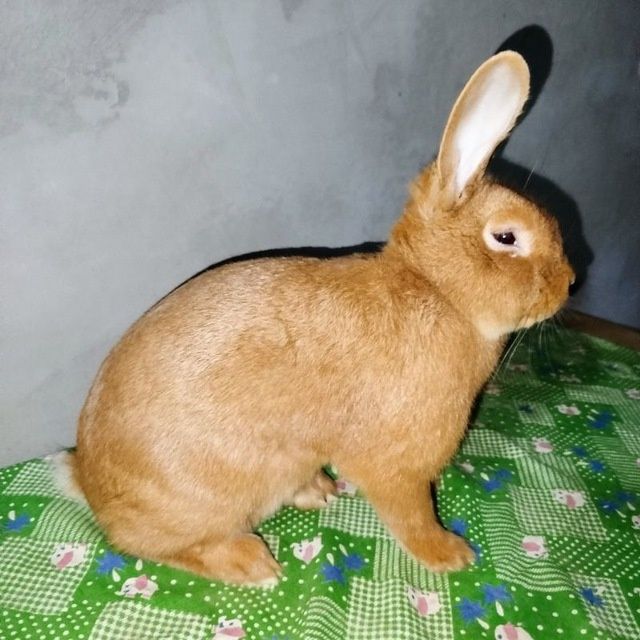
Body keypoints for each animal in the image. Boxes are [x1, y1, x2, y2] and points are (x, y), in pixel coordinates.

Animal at [63, 51, 574, 586]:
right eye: (507, 238)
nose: (570, 282)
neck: (437, 291)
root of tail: (89, 484)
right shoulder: (395, 464)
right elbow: (410, 512)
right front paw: (449, 554)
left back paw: (316, 491)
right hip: (201, 500)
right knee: (154, 544)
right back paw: (251, 563)